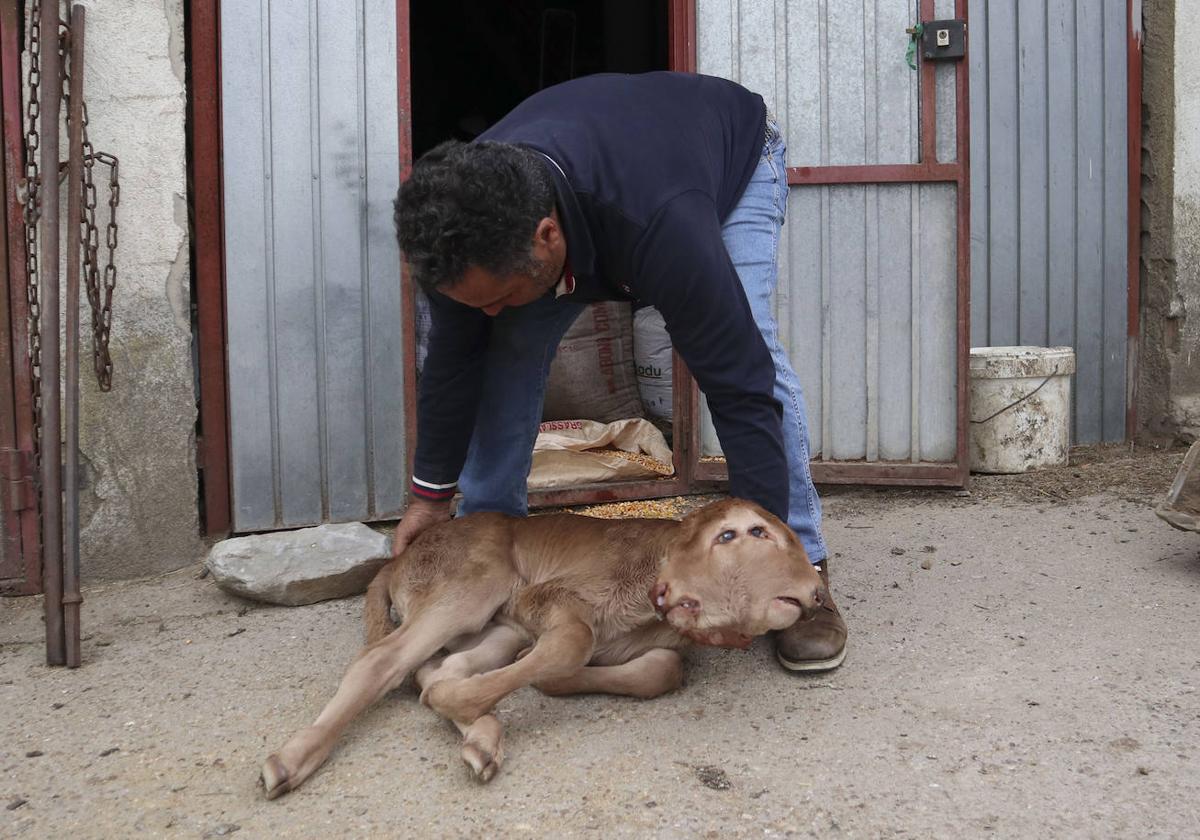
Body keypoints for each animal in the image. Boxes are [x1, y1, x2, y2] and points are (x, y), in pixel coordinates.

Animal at [260, 501, 825, 796]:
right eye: (739, 534)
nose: (815, 589)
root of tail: (399, 558)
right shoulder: (546, 596)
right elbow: (575, 641)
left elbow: (663, 668)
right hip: (474, 583)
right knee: (384, 660)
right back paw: (290, 760)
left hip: (494, 622)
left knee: (440, 666)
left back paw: (483, 737)